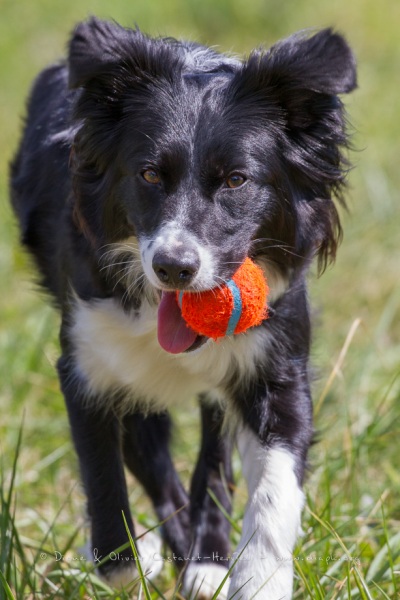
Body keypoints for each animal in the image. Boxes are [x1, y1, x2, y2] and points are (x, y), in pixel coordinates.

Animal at [10, 18, 356, 600]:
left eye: (237, 180)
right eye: (149, 175)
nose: (174, 267)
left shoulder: (276, 359)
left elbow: (275, 486)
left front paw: (257, 577)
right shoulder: (88, 364)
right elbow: (104, 475)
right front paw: (132, 559)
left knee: (212, 454)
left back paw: (207, 563)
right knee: (151, 457)